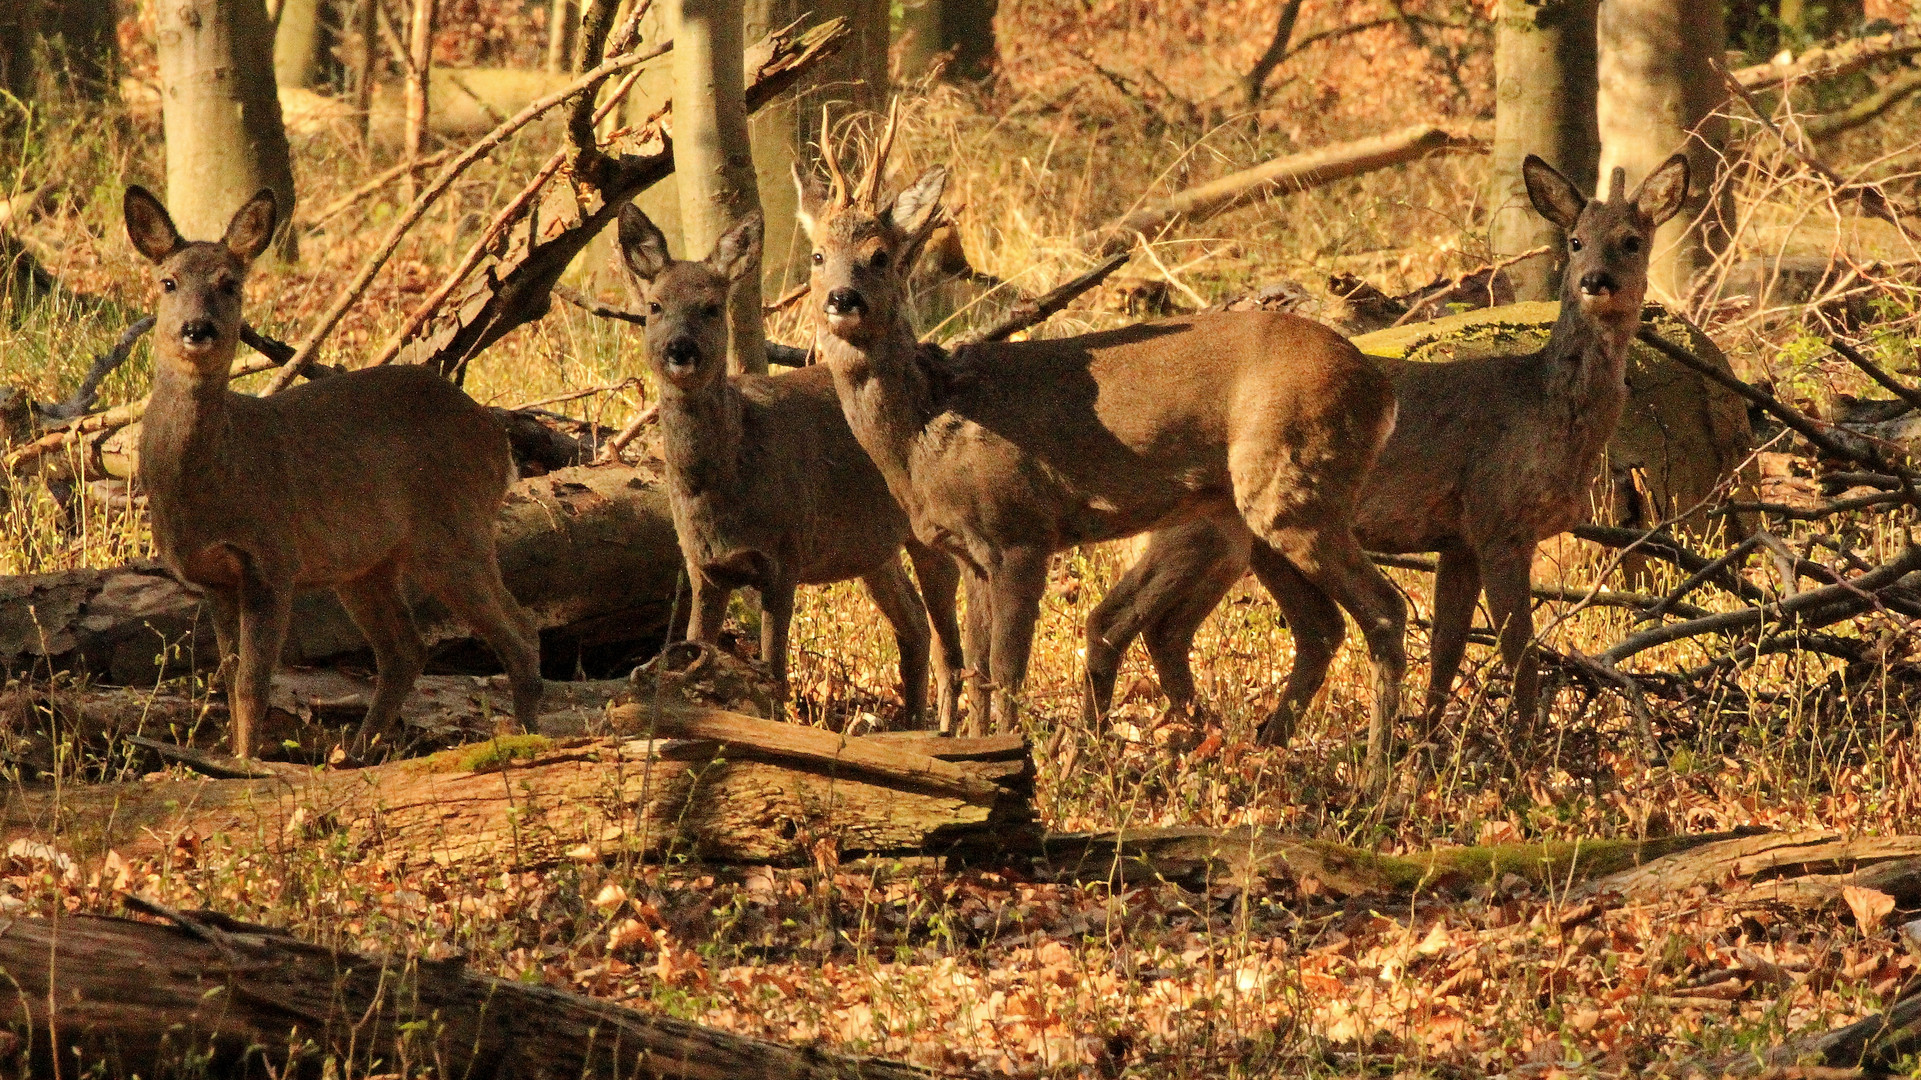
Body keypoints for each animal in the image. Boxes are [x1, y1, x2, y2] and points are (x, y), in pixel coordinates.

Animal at [121, 184, 541, 757]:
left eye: (231, 283)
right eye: (168, 282)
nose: (197, 328)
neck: (212, 480)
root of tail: (498, 439)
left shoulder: (273, 558)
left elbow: (253, 684)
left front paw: (247, 762)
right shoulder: (212, 579)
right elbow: (229, 679)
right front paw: (235, 754)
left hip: (454, 531)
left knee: (519, 631)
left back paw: (528, 739)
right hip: (368, 563)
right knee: (406, 648)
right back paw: (356, 751)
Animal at [622, 200, 968, 726]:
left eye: (712, 307)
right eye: (654, 307)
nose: (679, 349)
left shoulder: (783, 553)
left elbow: (774, 672)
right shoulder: (704, 567)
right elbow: (695, 650)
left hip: (924, 522)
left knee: (949, 632)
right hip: (868, 545)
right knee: (913, 623)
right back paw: (908, 726)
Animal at [795, 109, 1413, 787]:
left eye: (880, 256)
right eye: (818, 255)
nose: (842, 299)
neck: (927, 432)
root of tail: (1381, 389)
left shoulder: (1021, 533)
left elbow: (1007, 672)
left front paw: (1015, 762)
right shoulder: (969, 551)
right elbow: (980, 672)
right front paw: (979, 759)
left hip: (1295, 485)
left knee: (1387, 609)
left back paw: (1376, 776)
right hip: (1264, 510)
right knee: (1322, 625)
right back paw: (1265, 750)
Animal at [1091, 151, 1690, 734]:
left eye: (1632, 241)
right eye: (1575, 240)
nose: (1594, 280)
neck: (1544, 406)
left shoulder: (1459, 538)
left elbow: (1448, 649)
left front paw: (1427, 743)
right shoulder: (1498, 517)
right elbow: (1519, 652)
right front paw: (1526, 751)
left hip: (1234, 535)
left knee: (1175, 628)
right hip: (1214, 525)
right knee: (1127, 620)